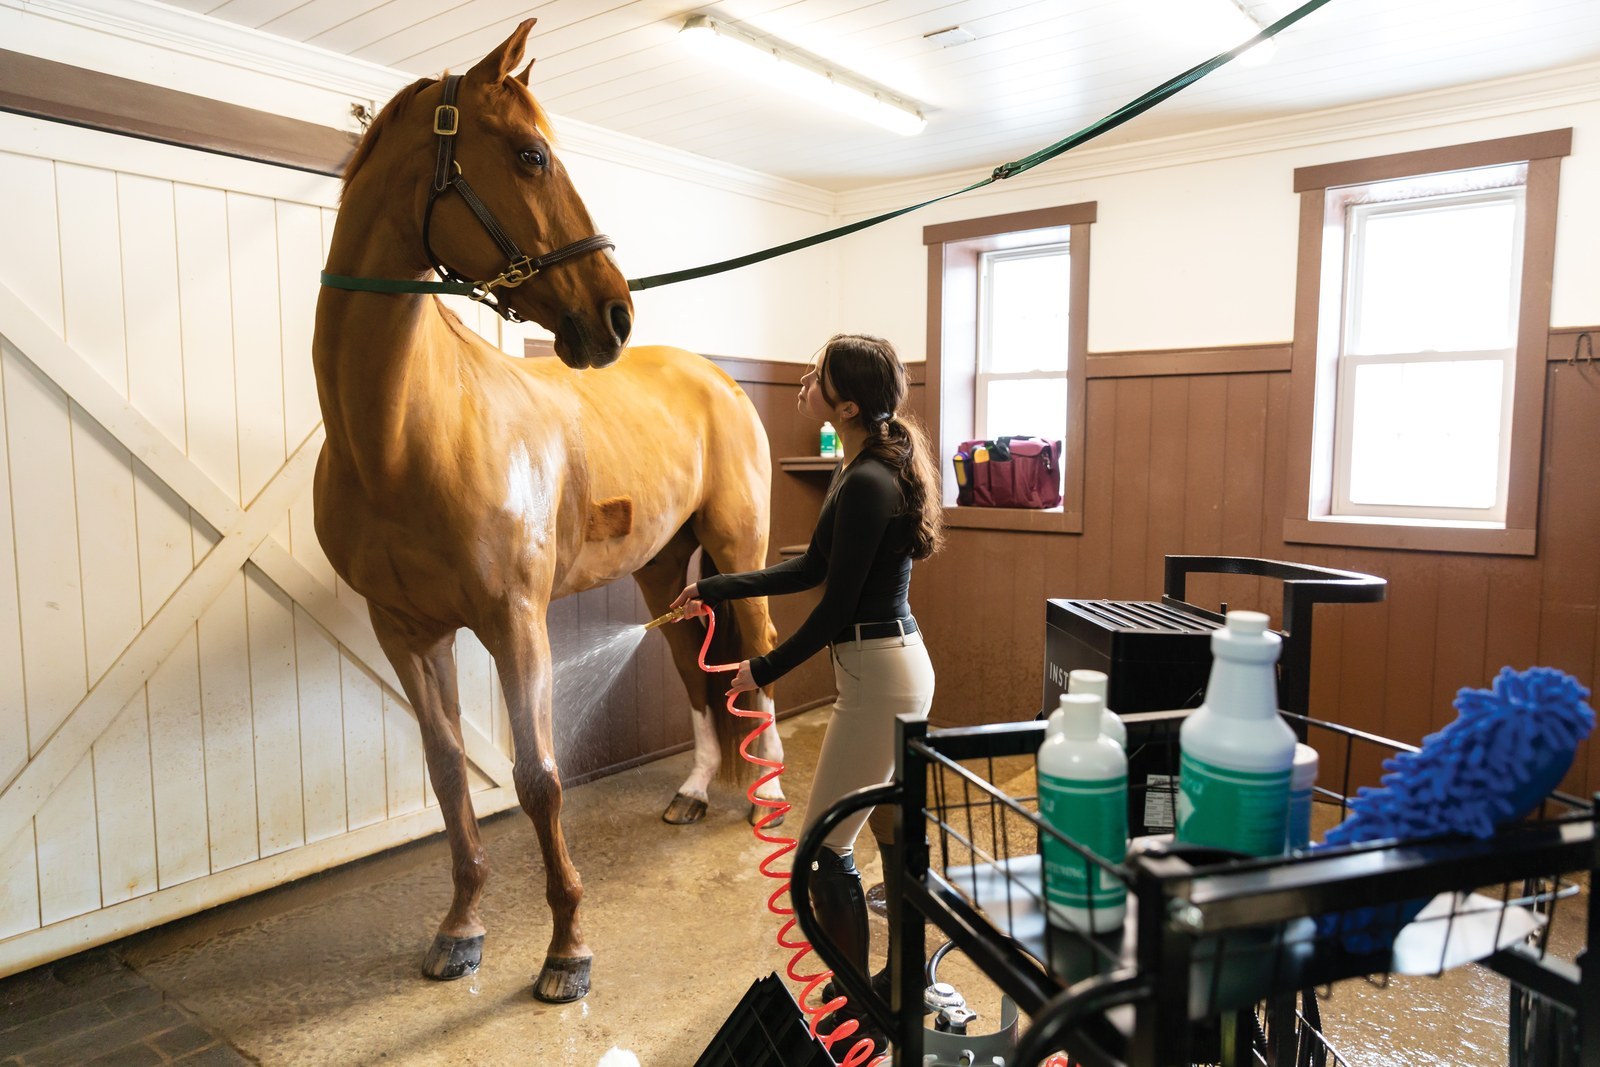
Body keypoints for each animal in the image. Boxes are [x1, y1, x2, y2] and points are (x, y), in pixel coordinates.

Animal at [312, 20, 784, 1002]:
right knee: (695, 674)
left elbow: (539, 780)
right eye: (530, 155)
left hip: (739, 549)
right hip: (661, 572)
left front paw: (568, 946)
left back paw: (769, 799)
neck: (401, 435)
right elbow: (450, 774)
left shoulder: (514, 621)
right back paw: (694, 790)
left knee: (759, 659)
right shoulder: (406, 632)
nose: (614, 315)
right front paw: (461, 927)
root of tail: (719, 376)